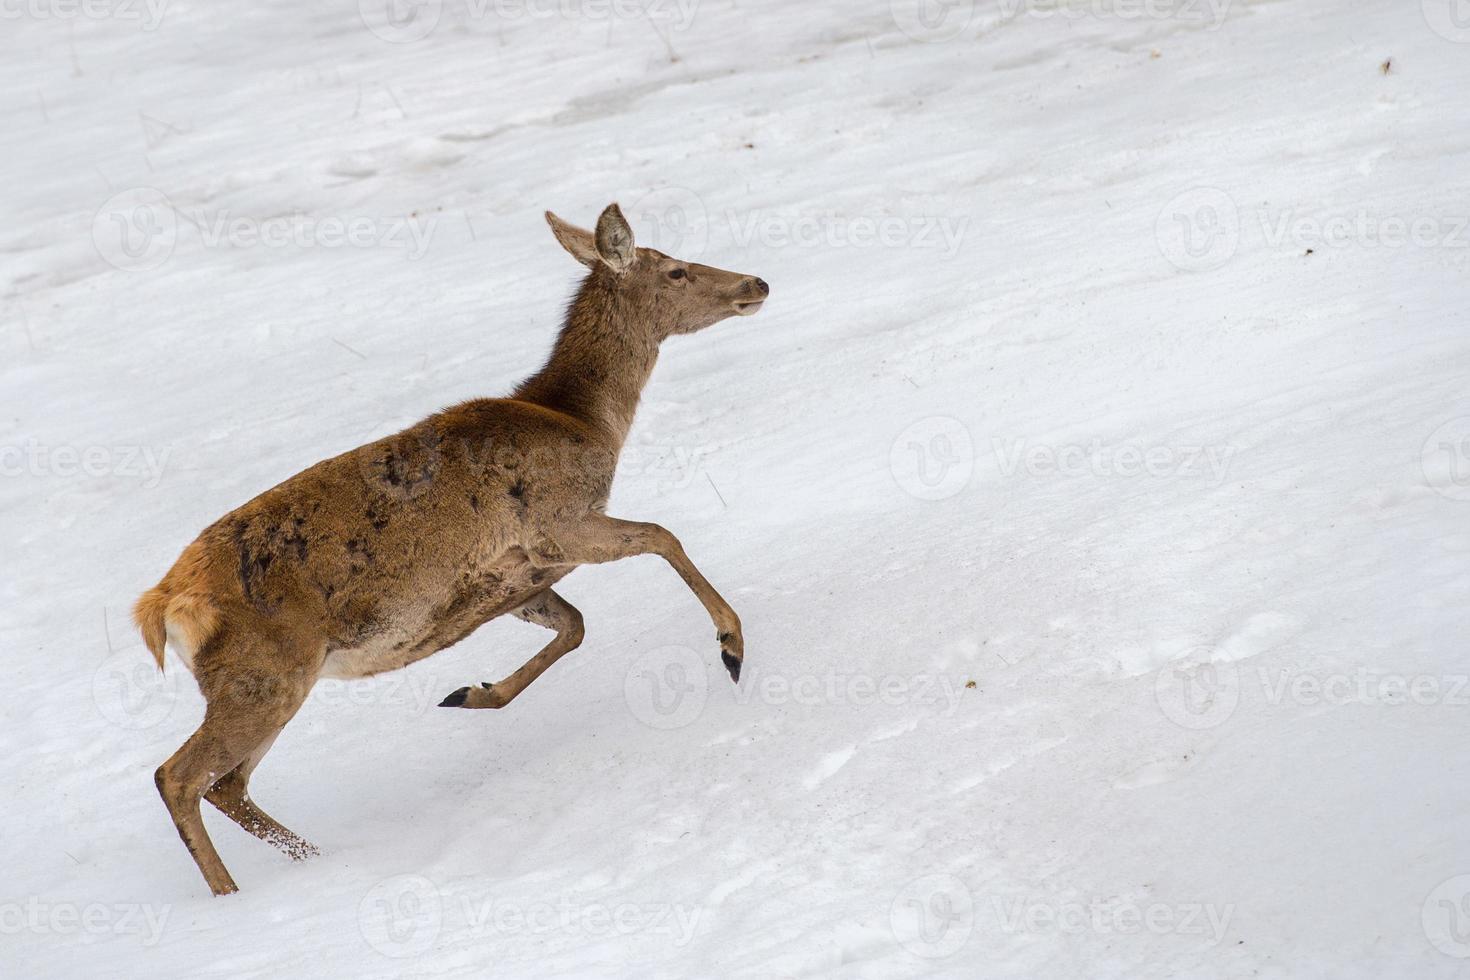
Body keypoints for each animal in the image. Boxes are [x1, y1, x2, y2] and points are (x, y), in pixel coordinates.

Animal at [133, 205, 770, 899]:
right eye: (676, 269)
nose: (757, 283)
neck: (584, 424)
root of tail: (162, 605)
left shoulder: (514, 577)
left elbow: (574, 625)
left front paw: (471, 692)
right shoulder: (556, 523)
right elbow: (662, 534)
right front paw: (732, 646)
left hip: (258, 685)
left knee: (228, 786)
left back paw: (319, 861)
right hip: (262, 677)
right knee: (179, 776)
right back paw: (233, 895)